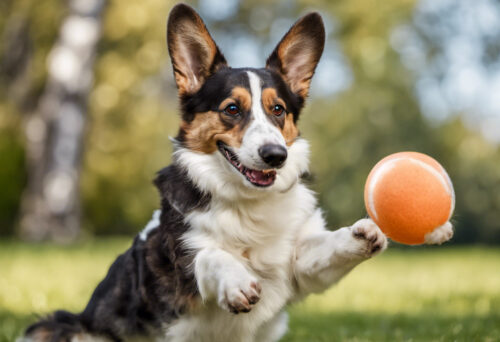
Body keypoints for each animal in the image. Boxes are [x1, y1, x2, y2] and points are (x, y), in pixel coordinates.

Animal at [23, 3, 390, 342]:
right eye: (232, 109)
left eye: (278, 109)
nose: (276, 156)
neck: (248, 204)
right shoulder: (181, 267)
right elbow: (210, 255)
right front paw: (237, 282)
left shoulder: (297, 265)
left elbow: (324, 251)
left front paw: (363, 233)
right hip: (60, 327)